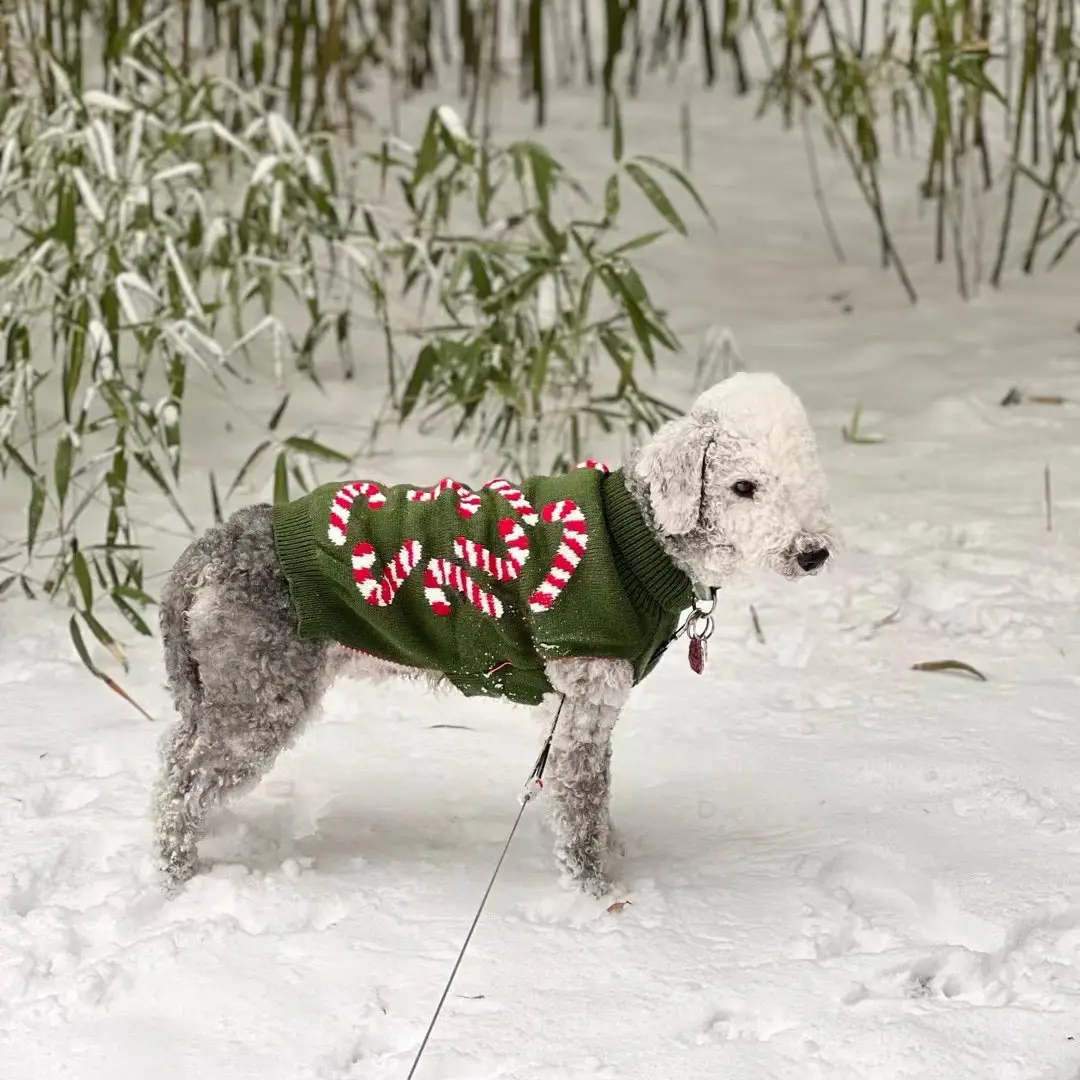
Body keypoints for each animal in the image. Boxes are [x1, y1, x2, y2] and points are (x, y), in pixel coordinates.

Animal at [154, 371, 825, 894]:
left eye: (803, 483)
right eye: (744, 488)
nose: (813, 553)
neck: (637, 533)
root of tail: (214, 546)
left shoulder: (588, 705)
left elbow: (594, 799)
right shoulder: (584, 693)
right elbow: (581, 811)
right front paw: (597, 900)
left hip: (228, 691)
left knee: (175, 760)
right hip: (263, 697)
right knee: (181, 789)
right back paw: (176, 876)